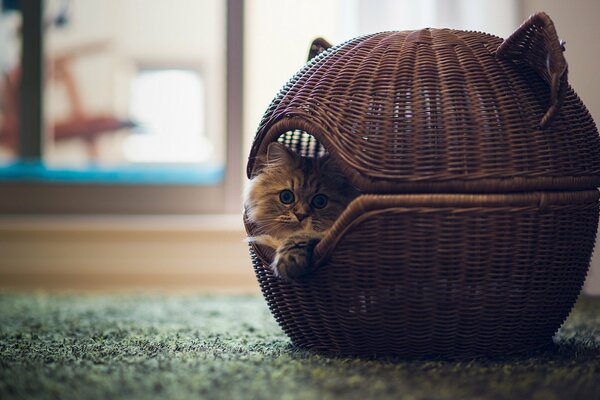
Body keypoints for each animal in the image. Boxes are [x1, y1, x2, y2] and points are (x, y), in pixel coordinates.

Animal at [243, 141, 356, 282]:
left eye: (320, 201)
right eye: (286, 197)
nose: (300, 215)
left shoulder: (328, 232)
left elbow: (303, 235)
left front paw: (287, 261)